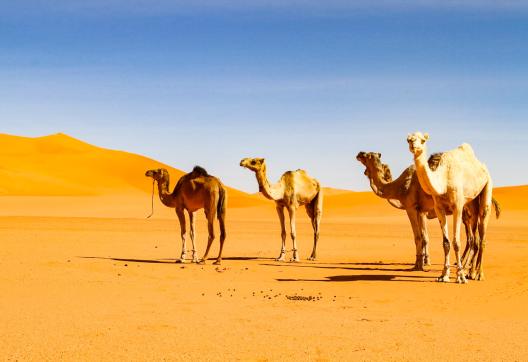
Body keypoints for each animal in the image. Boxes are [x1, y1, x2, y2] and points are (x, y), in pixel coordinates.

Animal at [354, 151, 500, 272]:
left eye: (367, 155)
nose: (359, 153)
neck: (398, 187)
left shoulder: (411, 208)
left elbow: (419, 237)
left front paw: (418, 265)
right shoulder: (421, 210)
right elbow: (425, 237)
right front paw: (424, 262)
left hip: (466, 211)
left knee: (472, 238)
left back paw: (466, 267)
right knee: (476, 238)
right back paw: (469, 268)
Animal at [408, 133, 496, 282]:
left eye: (423, 140)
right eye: (408, 139)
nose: (414, 146)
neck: (444, 180)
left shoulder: (458, 207)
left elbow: (456, 242)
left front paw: (460, 276)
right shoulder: (439, 208)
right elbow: (446, 243)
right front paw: (444, 275)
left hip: (488, 185)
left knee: (482, 233)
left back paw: (479, 274)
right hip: (471, 203)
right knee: (475, 237)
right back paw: (471, 272)